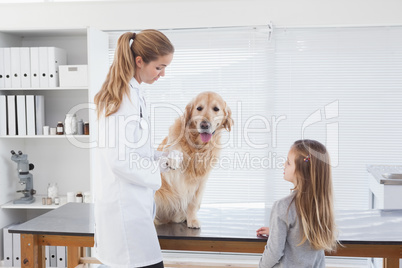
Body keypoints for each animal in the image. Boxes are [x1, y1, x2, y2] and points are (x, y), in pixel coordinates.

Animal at [155, 91, 234, 228]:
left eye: (216, 109)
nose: (204, 125)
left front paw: (192, 220)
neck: (198, 147)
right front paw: (173, 160)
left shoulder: (202, 181)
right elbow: (174, 151)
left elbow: (193, 202)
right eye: (199, 108)